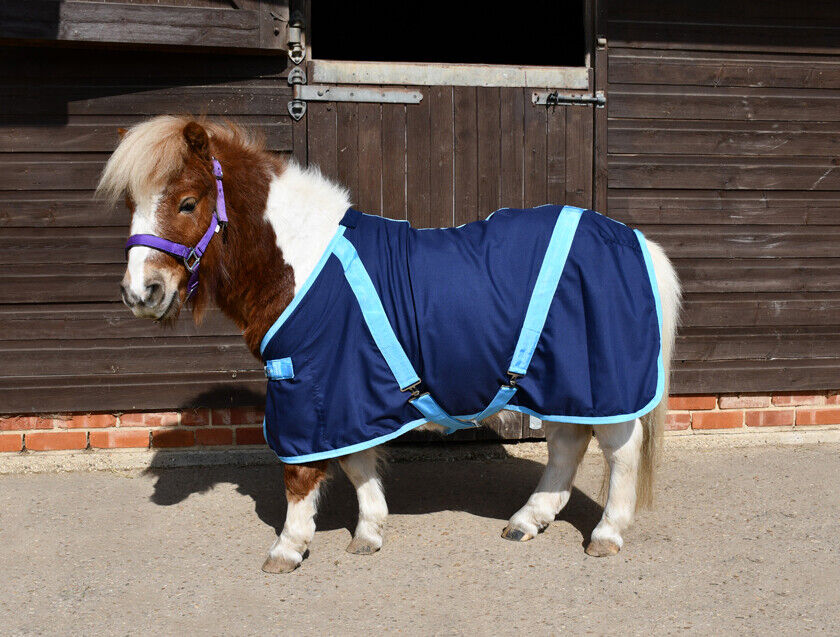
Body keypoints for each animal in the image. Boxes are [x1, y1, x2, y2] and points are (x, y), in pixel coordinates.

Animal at [97, 116, 681, 574]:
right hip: (565, 383)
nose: (141, 292)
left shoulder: (307, 388)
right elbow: (357, 463)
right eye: (131, 204)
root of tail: (635, 241)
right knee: (566, 444)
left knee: (620, 452)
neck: (302, 262)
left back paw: (606, 534)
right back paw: (527, 520)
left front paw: (289, 547)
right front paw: (369, 532)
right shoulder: (342, 392)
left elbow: (300, 474)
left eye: (188, 202)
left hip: (604, 384)